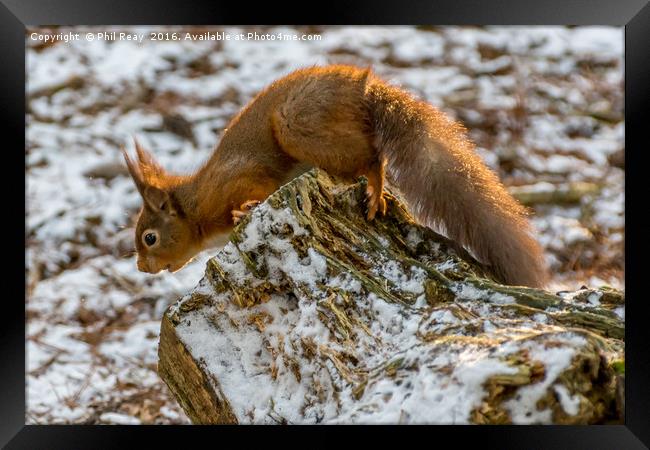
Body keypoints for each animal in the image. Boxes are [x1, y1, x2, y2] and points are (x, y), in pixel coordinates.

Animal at [123, 64, 548, 284]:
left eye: (149, 237)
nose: (142, 268)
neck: (196, 208)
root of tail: (363, 87)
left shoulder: (238, 180)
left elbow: (255, 188)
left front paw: (245, 210)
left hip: (297, 125)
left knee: (373, 158)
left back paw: (375, 189)